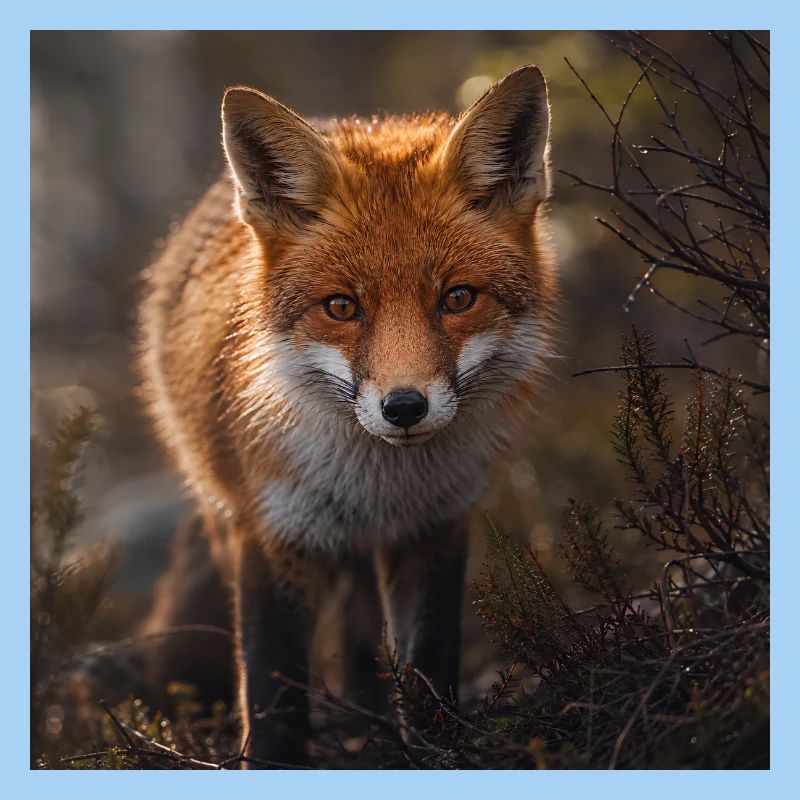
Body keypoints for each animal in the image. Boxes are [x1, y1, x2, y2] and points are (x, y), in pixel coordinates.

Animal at [137, 64, 558, 767]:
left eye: (458, 298)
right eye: (341, 307)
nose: (405, 406)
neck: (377, 486)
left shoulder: (435, 527)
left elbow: (428, 668)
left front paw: (434, 751)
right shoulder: (273, 533)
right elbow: (275, 694)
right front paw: (271, 758)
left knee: (364, 642)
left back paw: (371, 724)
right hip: (226, 518)